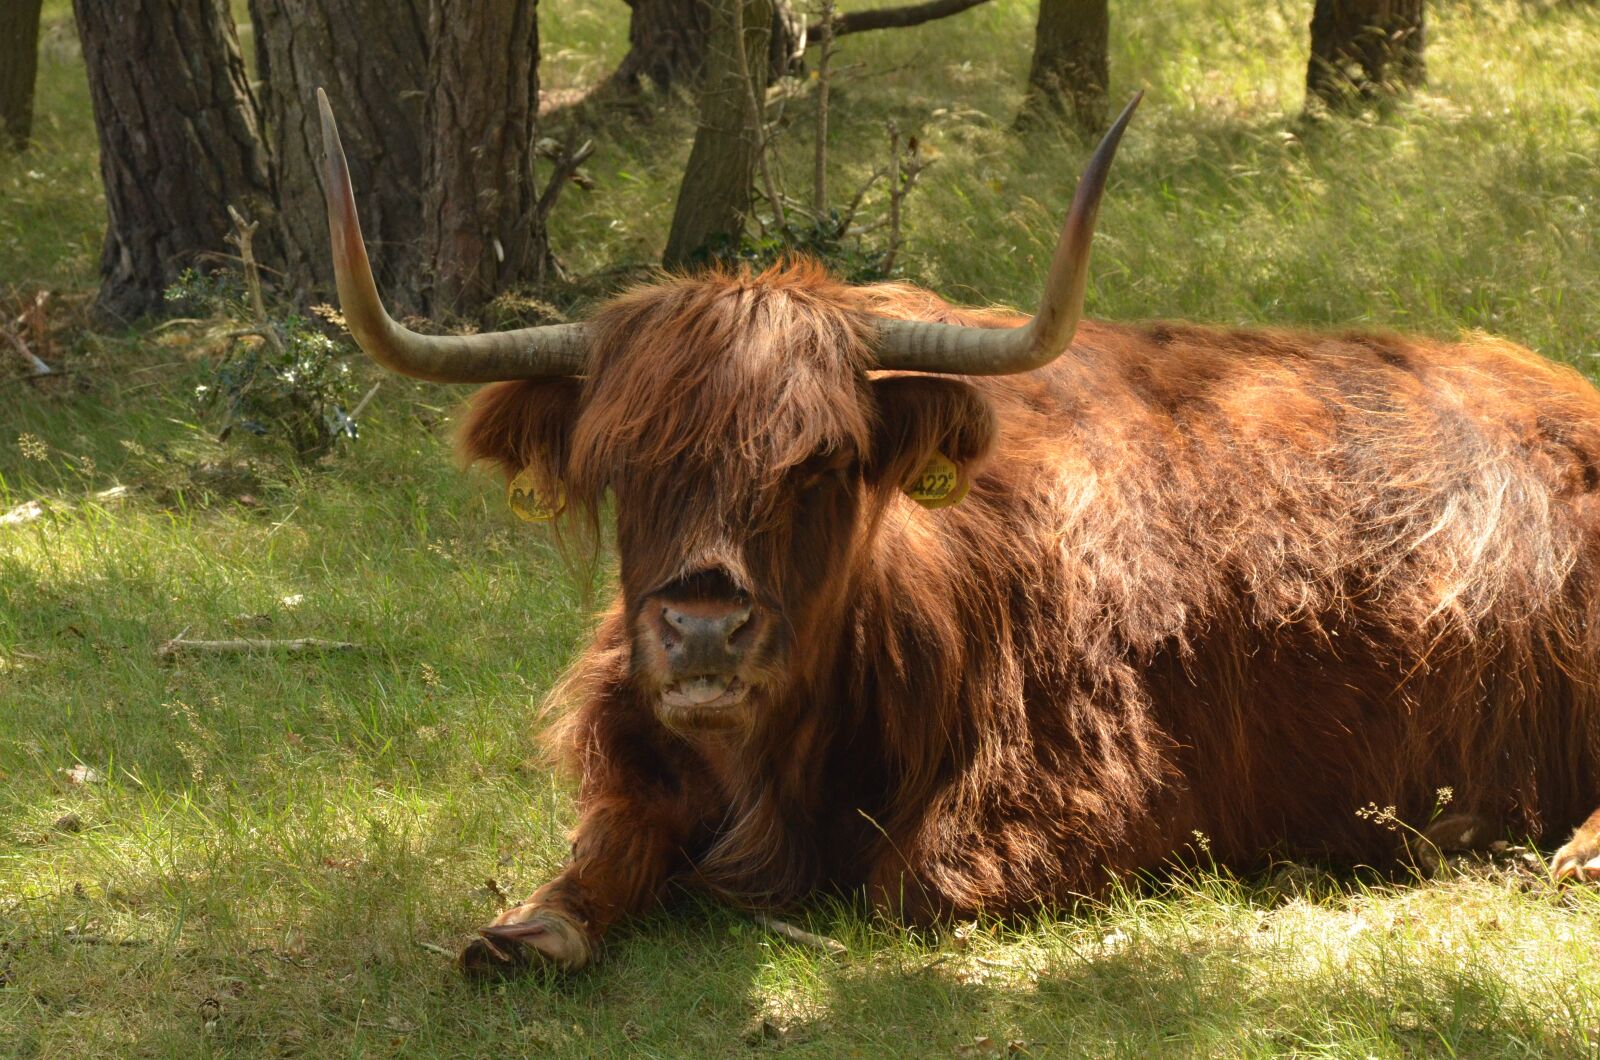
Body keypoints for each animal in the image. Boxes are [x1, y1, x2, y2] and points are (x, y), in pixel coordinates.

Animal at [315, 89, 1600, 976]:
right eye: (624, 465)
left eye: (822, 463)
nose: (702, 631)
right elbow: (587, 866)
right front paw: (525, 926)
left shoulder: (1100, 795)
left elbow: (903, 892)